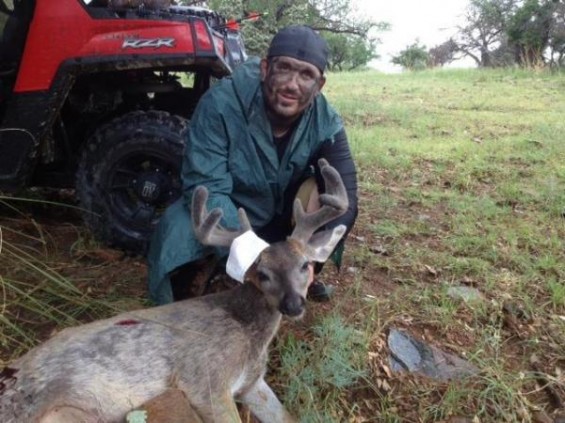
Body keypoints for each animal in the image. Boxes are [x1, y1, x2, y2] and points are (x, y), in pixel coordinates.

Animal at [0, 160, 348, 423]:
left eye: (305, 265)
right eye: (262, 275)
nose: (293, 304)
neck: (250, 337)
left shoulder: (252, 382)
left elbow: (288, 417)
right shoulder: (205, 379)